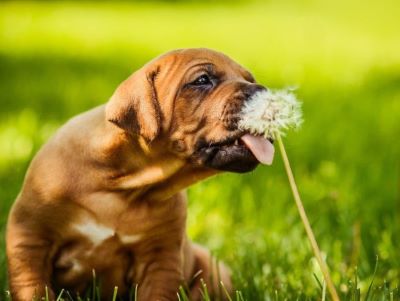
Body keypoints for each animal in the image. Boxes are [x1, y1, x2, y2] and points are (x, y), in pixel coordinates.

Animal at [5, 48, 266, 298]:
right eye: (202, 80)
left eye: (250, 79)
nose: (262, 92)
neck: (122, 183)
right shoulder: (30, 236)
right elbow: (32, 287)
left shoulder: (160, 258)